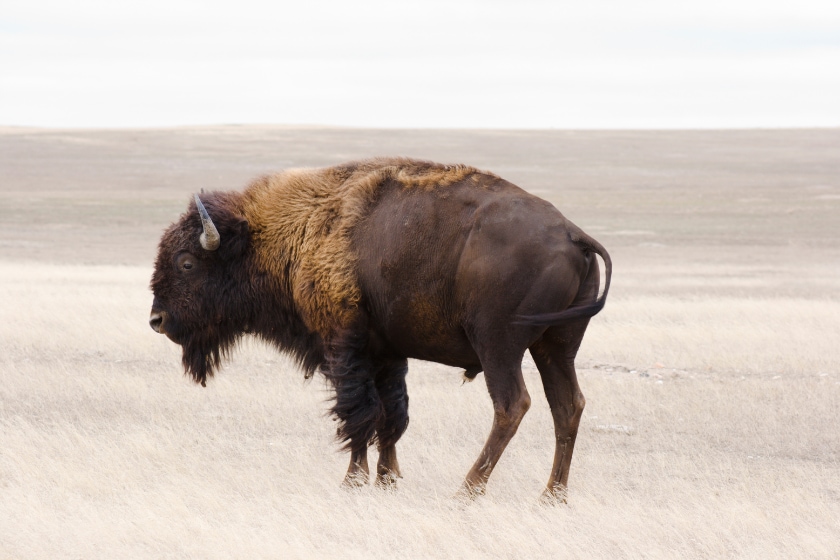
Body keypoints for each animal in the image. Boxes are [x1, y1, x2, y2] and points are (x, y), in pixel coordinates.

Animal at [149, 156, 612, 498]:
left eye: (187, 263)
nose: (157, 320)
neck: (292, 231)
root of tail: (572, 234)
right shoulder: (389, 353)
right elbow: (391, 414)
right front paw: (388, 480)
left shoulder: (344, 347)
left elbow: (358, 413)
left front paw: (352, 482)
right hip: (556, 347)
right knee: (567, 406)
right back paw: (552, 496)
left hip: (499, 347)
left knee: (513, 405)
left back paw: (466, 491)